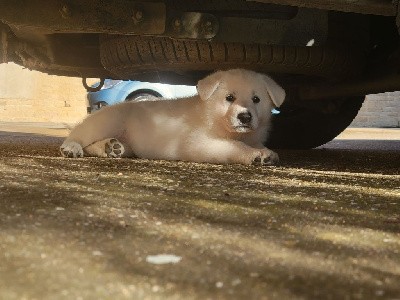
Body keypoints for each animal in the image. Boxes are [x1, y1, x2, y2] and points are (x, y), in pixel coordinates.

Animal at [60, 69, 284, 165]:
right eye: (229, 97)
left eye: (256, 99)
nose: (245, 117)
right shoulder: (199, 143)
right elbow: (234, 147)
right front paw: (254, 154)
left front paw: (266, 152)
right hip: (107, 122)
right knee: (81, 135)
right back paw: (71, 148)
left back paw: (113, 147)